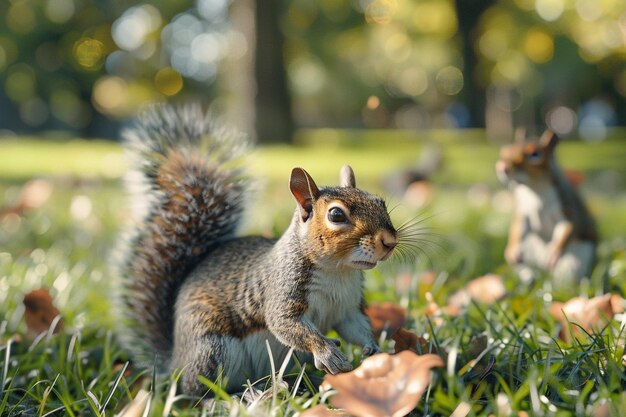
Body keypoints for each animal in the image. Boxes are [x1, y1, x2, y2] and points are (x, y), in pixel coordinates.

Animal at [116, 103, 400, 394]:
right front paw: (327, 352)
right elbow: (285, 323)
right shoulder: (282, 288)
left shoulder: (348, 307)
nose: (389, 242)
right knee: (198, 389)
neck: (338, 271)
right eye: (336, 215)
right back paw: (237, 396)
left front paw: (376, 350)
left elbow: (356, 327)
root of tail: (175, 362)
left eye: (380, 201)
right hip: (212, 349)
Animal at [492, 128, 596, 290]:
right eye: (505, 150)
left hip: (575, 260)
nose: (503, 168)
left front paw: (554, 251)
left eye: (535, 154)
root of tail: (542, 271)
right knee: (525, 268)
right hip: (527, 253)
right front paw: (511, 249)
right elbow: (518, 226)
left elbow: (568, 227)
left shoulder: (566, 205)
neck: (535, 190)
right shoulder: (523, 211)